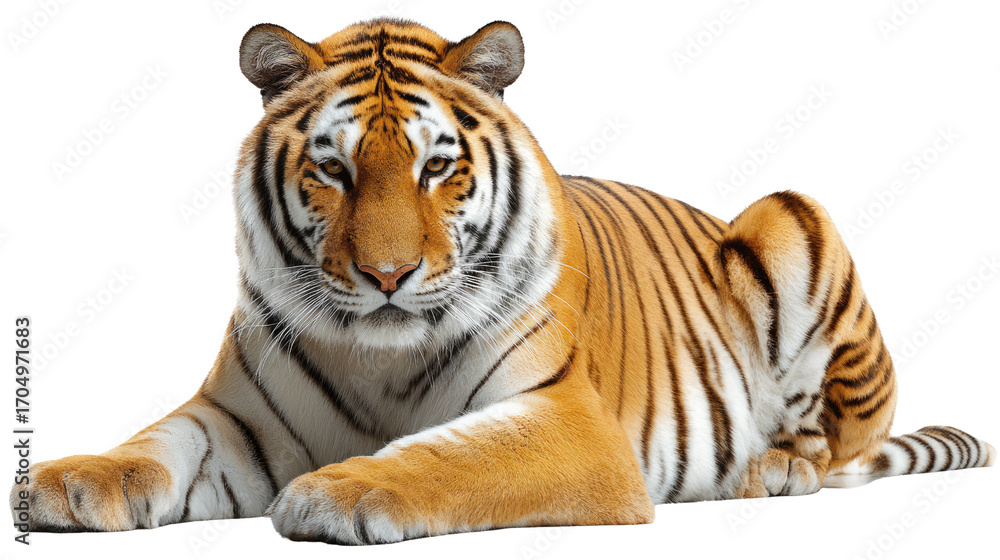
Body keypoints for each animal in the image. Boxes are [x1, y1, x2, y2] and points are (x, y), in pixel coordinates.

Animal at [11, 18, 993, 545]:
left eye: (437, 167)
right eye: (332, 170)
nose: (388, 274)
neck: (379, 358)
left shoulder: (564, 420)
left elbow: (456, 456)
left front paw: (339, 492)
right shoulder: (237, 416)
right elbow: (156, 443)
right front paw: (69, 481)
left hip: (792, 213)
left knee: (836, 444)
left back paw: (771, 470)